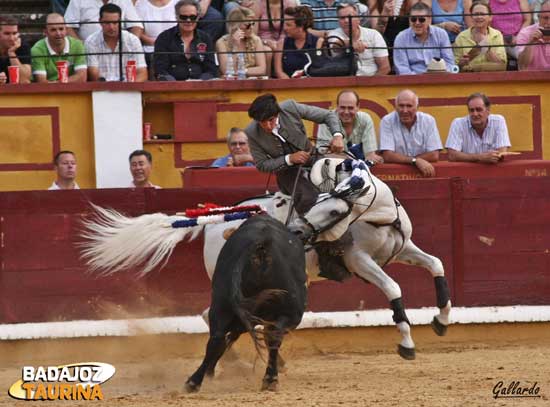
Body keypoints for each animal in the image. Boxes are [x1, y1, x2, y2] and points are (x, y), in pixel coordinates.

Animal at [82, 159, 452, 360]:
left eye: (335, 209)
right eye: (321, 203)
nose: (298, 233)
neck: (381, 218)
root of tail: (215, 221)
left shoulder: (403, 249)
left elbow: (437, 264)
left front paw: (441, 321)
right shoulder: (359, 260)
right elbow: (394, 289)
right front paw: (407, 344)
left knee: (215, 315)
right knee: (215, 314)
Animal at [184, 215, 306, 394]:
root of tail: (261, 245)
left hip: (222, 304)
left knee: (217, 338)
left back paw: (194, 381)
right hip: (291, 312)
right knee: (272, 337)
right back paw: (270, 378)